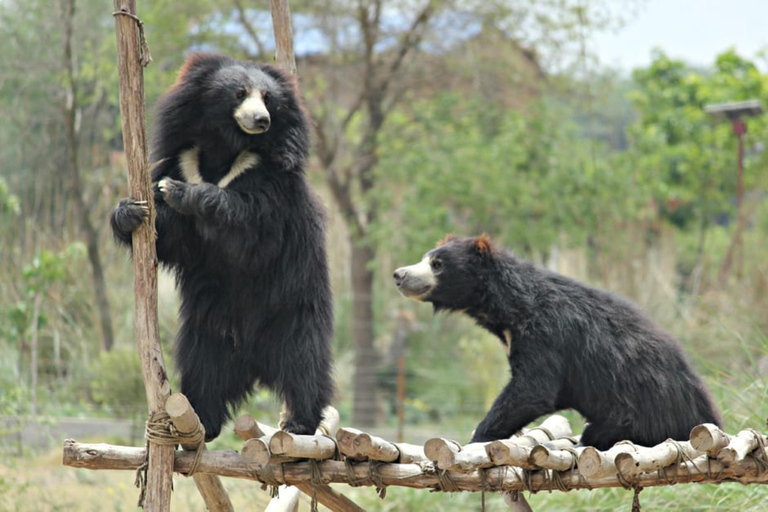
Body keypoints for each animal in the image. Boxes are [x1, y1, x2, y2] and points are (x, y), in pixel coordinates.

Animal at [110, 54, 332, 442]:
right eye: (239, 93)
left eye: (269, 99)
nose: (262, 120)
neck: (224, 148)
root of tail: (255, 362)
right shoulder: (183, 158)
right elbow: (172, 237)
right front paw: (129, 212)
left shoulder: (270, 179)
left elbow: (249, 226)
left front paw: (181, 192)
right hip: (208, 330)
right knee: (204, 370)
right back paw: (203, 419)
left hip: (295, 310)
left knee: (305, 363)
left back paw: (299, 422)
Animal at [392, 234, 724, 450]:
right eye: (425, 258)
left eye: (437, 264)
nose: (398, 274)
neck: (505, 309)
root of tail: (710, 416)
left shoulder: (544, 335)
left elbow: (532, 388)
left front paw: (476, 439)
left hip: (638, 413)